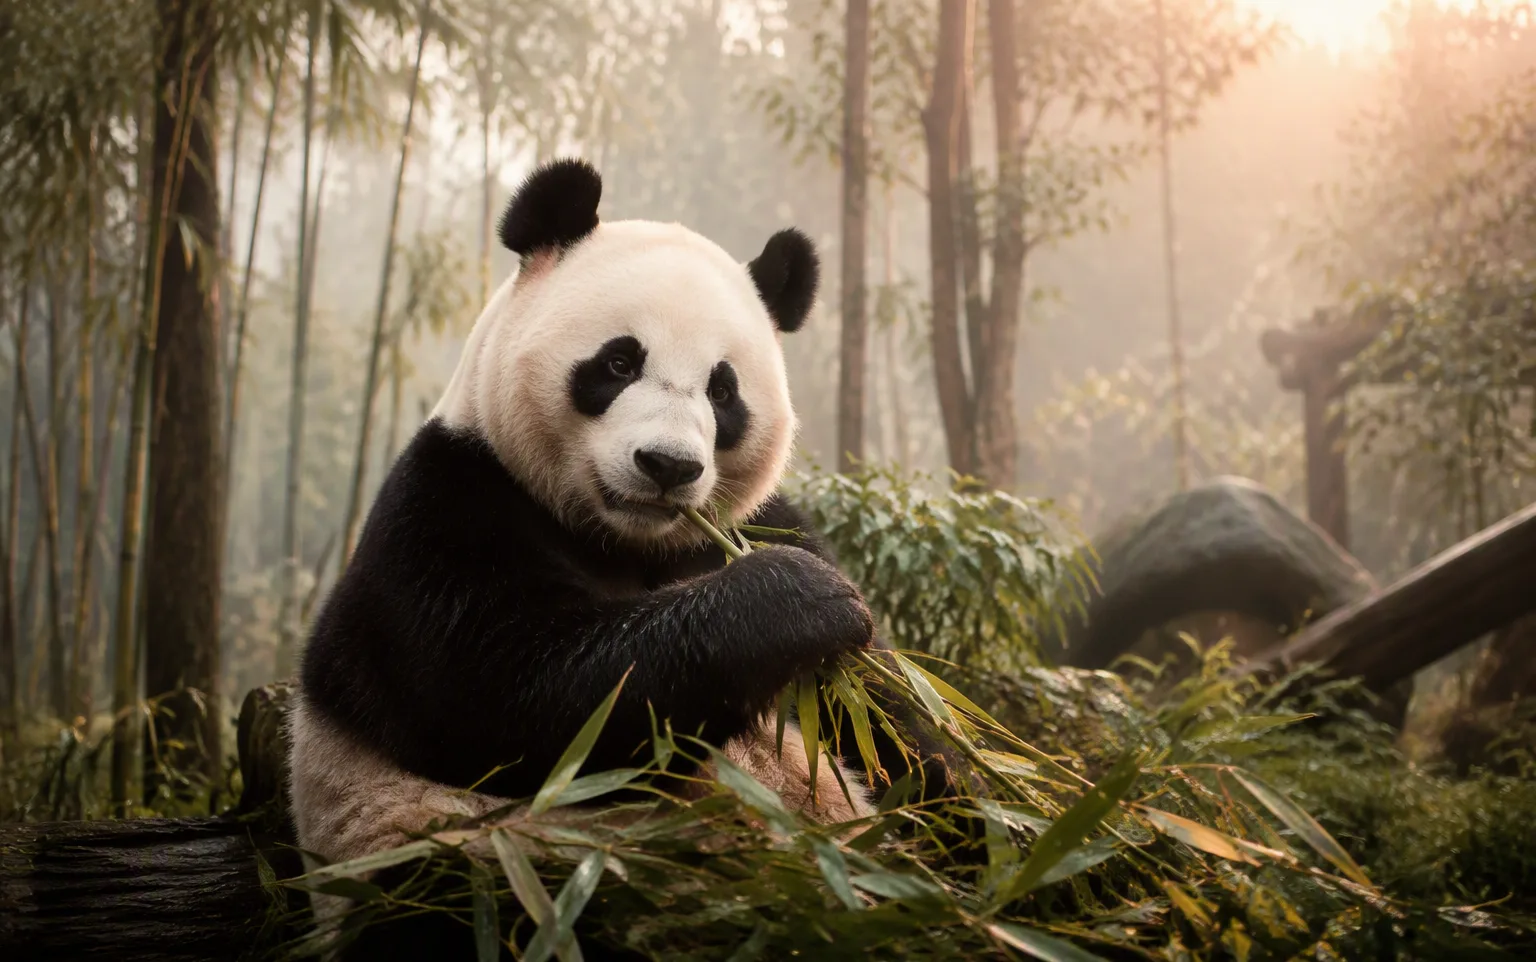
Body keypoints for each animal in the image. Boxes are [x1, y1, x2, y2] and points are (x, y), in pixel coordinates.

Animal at [287, 158, 958, 958]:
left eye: (723, 390)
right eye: (616, 361)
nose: (668, 465)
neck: (626, 538)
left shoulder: (756, 523)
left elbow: (889, 717)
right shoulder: (446, 509)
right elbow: (512, 694)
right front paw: (804, 601)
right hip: (476, 868)